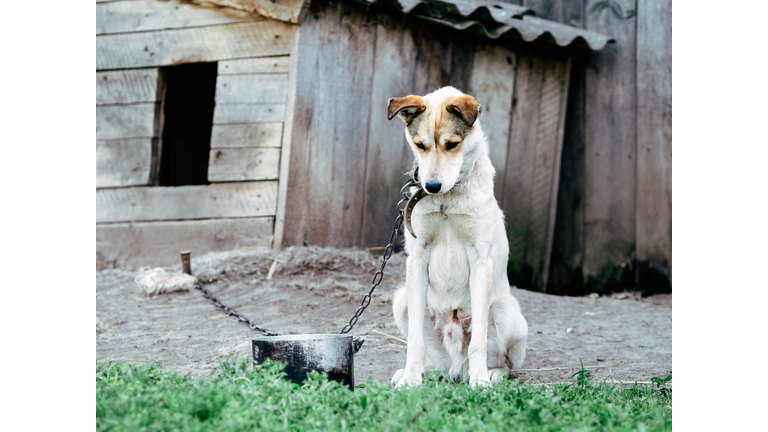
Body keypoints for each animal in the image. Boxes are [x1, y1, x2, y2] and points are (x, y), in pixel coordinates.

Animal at [384, 85, 528, 388]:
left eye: (452, 144)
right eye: (420, 145)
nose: (431, 186)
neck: (446, 201)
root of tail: (456, 367)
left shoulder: (480, 260)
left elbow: (479, 340)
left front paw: (481, 382)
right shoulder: (417, 259)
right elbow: (414, 340)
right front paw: (411, 379)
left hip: (506, 312)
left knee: (504, 363)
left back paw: (489, 374)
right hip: (402, 300)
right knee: (433, 358)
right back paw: (420, 371)